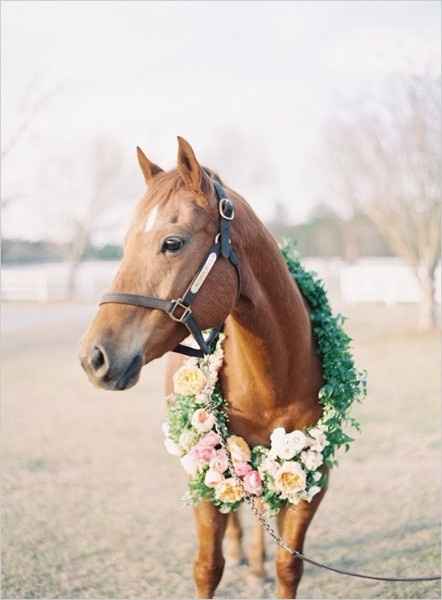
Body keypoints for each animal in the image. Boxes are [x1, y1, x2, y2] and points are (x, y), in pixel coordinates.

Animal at [80, 138, 328, 596]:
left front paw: (269, 568)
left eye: (172, 243)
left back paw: (257, 567)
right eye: (125, 243)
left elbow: (289, 566)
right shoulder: (204, 474)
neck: (273, 383)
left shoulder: (314, 479)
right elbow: (208, 567)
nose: (94, 357)